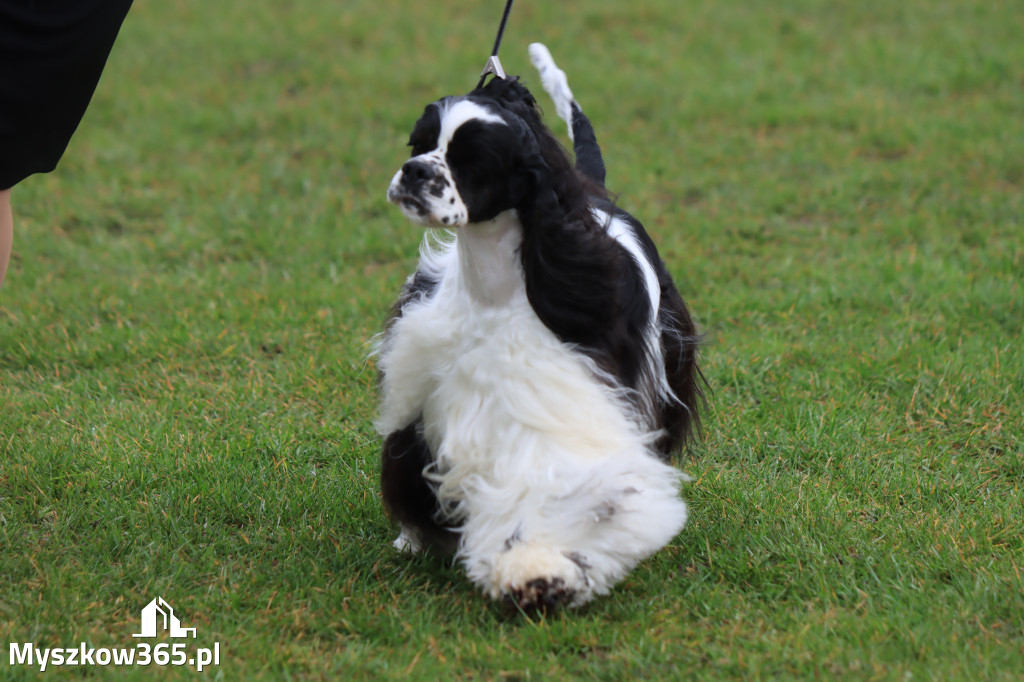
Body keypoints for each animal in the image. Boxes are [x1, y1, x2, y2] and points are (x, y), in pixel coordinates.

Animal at [376, 45, 704, 606]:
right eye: (419, 143)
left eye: (471, 160)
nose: (414, 171)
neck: (494, 286)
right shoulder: (430, 387)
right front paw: (421, 535)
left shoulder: (551, 403)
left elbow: (553, 483)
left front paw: (539, 569)